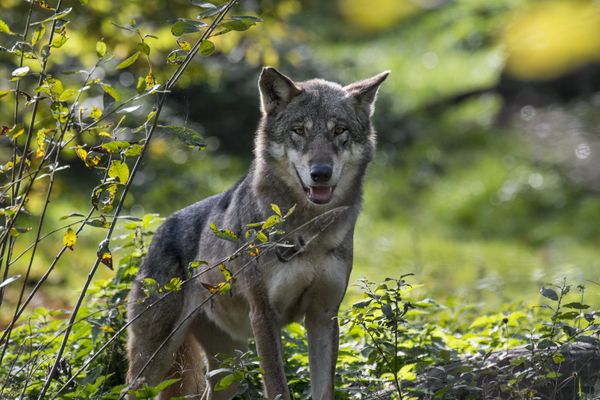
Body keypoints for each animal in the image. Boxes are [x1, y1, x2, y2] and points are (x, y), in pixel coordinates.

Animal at [126, 67, 390, 398]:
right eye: (299, 131)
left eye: (339, 130)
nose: (320, 173)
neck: (309, 231)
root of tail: (163, 226)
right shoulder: (264, 316)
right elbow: (278, 387)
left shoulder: (324, 316)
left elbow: (324, 390)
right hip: (153, 365)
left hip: (228, 371)